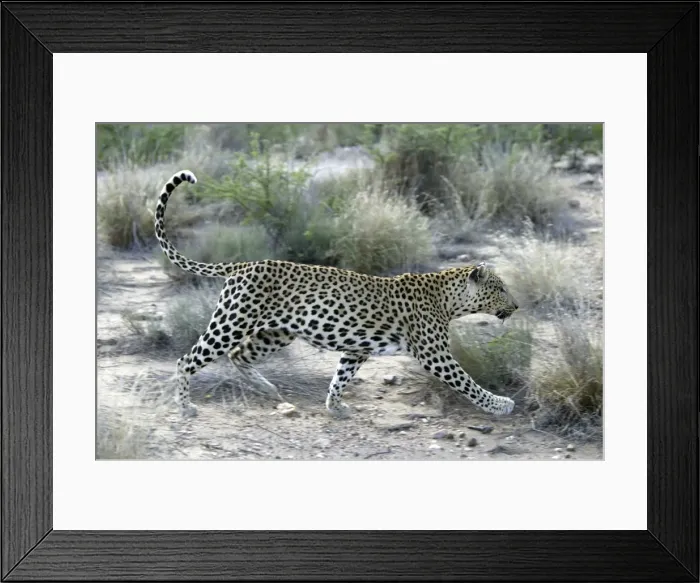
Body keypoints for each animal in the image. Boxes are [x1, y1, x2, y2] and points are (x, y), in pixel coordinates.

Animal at [155, 170, 519, 419]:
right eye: (500, 288)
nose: (516, 306)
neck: (448, 299)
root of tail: (243, 264)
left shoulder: (356, 350)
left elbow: (340, 377)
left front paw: (335, 406)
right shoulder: (435, 355)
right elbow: (467, 382)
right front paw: (500, 405)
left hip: (276, 333)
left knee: (238, 355)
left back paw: (269, 389)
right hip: (232, 323)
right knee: (187, 359)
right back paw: (185, 406)